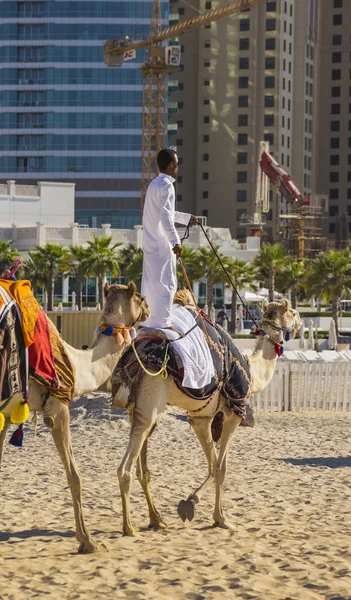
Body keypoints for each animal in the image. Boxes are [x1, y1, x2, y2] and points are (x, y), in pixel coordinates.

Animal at [0, 282, 149, 552]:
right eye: (139, 298)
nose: (149, 308)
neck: (78, 365)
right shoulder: (58, 409)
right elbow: (74, 477)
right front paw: (87, 540)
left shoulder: (5, 416)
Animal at [113, 296, 302, 536]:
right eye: (293, 313)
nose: (301, 322)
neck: (253, 371)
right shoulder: (233, 413)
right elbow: (220, 468)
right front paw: (216, 516)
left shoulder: (201, 417)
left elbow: (215, 466)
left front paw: (196, 507)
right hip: (151, 402)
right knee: (125, 468)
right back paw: (128, 527)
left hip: (139, 409)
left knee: (142, 469)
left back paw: (156, 519)